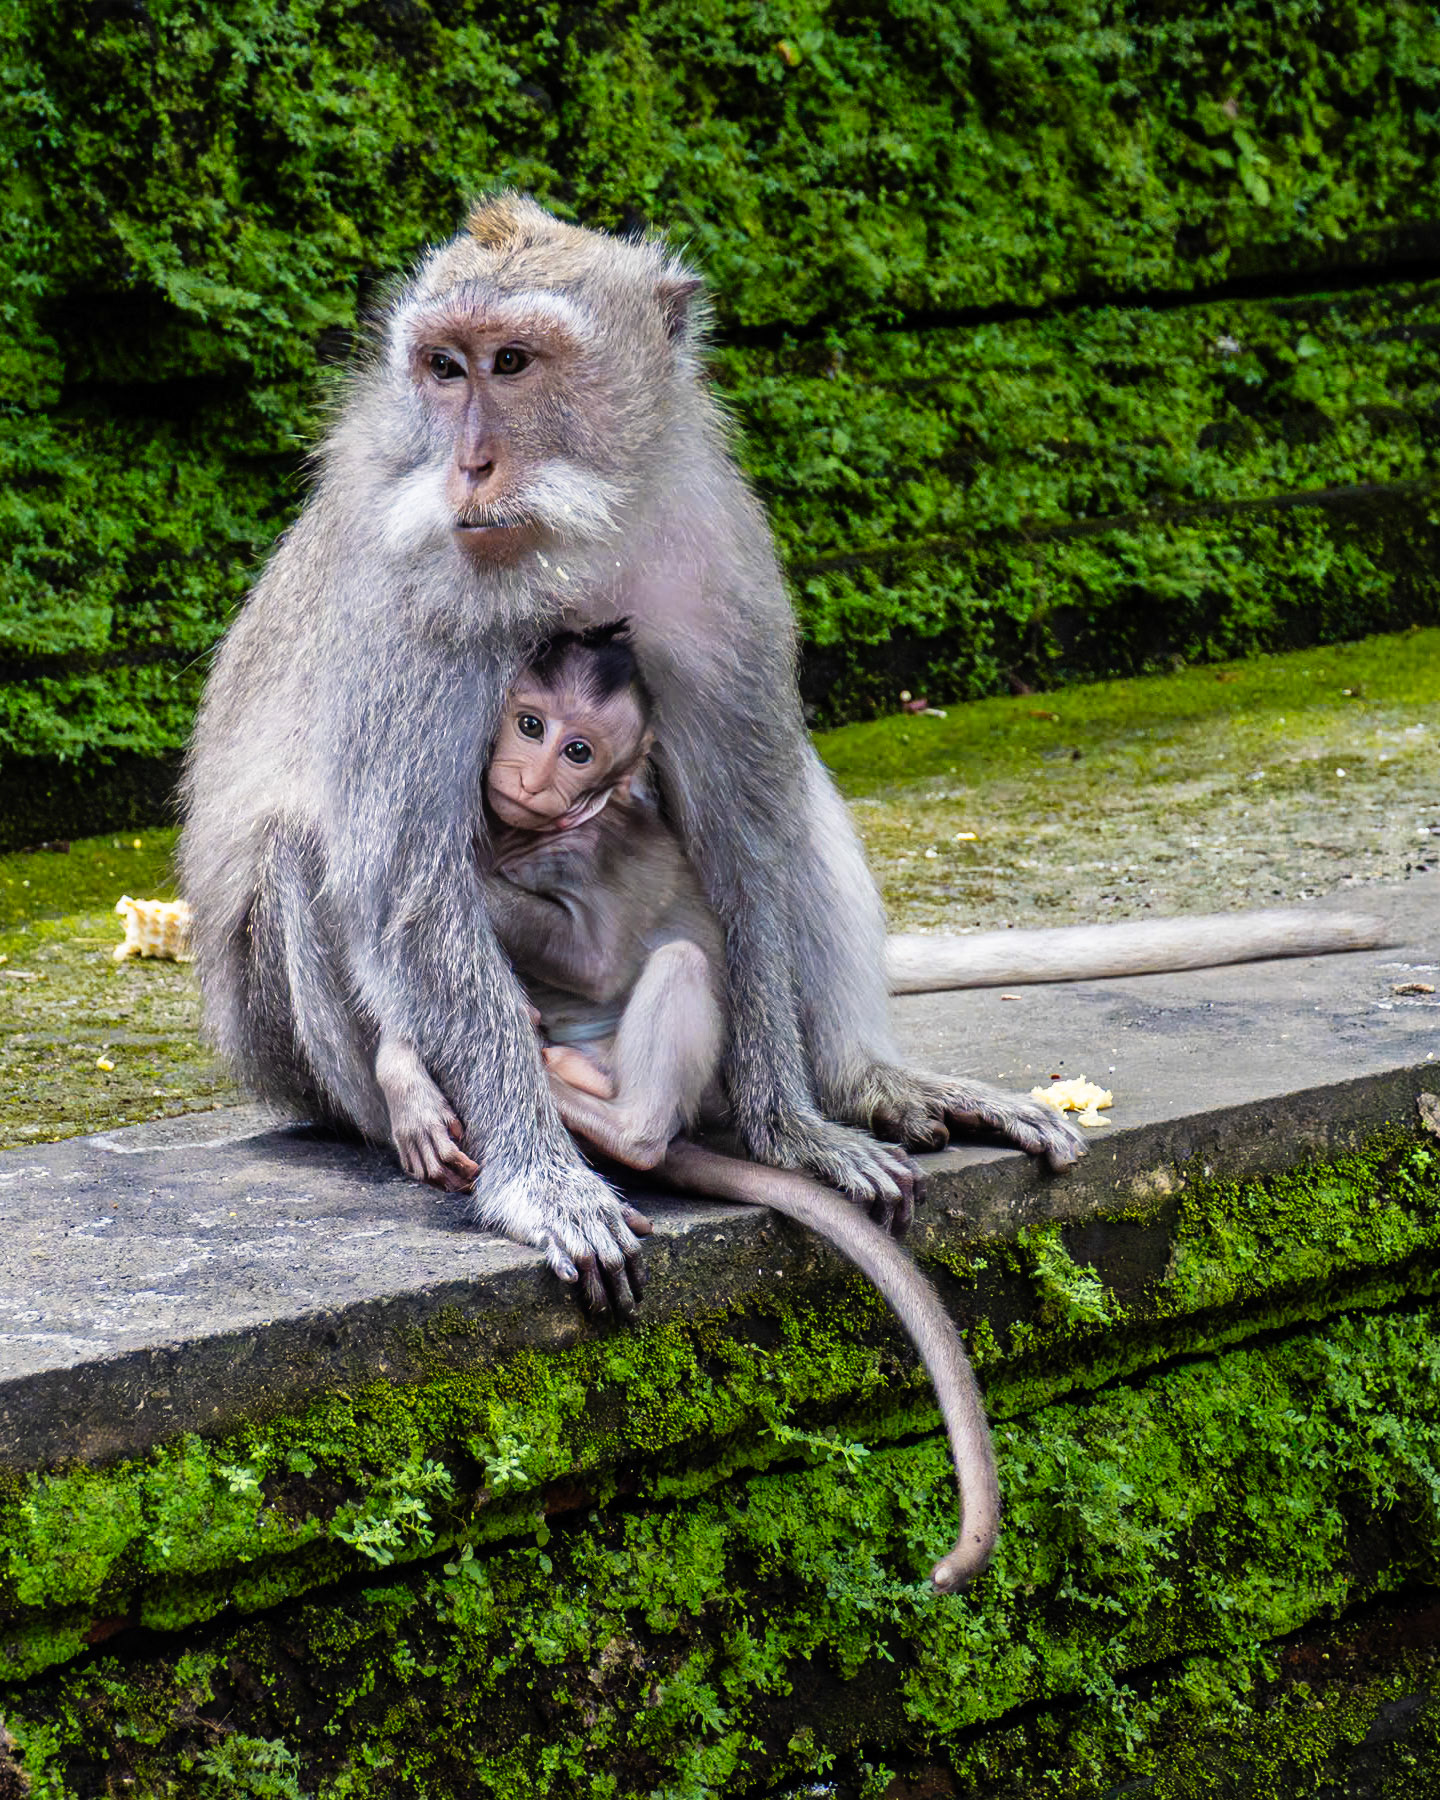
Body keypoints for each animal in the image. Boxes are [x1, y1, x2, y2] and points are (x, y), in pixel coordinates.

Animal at [373, 622, 998, 1586]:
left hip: (686, 1077)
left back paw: (588, 1110)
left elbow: (590, 950)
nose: (531, 776)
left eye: (579, 750)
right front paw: (408, 1081)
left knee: (676, 984)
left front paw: (479, 882)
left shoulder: (590, 851)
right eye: (529, 722)